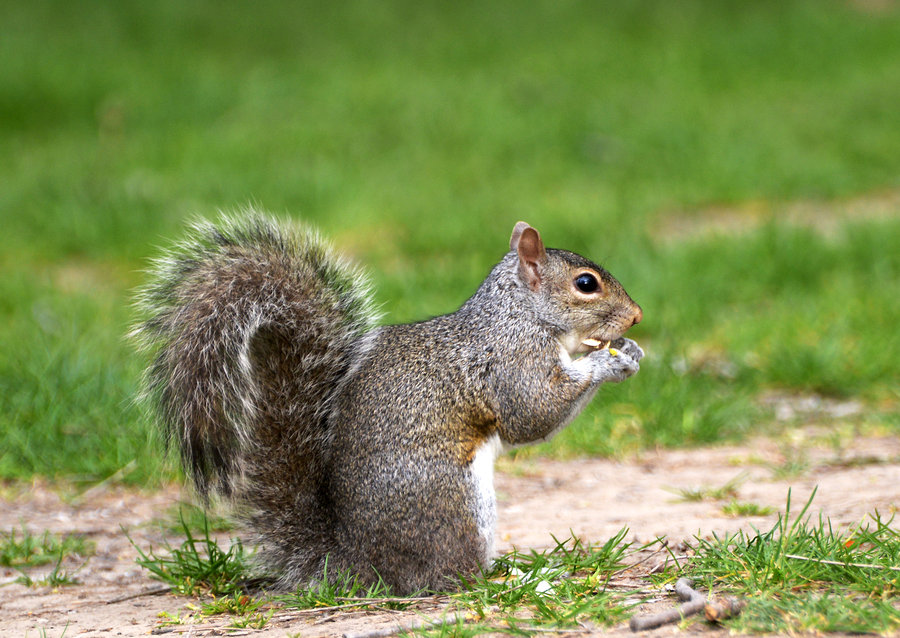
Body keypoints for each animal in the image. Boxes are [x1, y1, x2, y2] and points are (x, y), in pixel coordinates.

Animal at [132, 214, 640, 596]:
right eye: (586, 283)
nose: (636, 317)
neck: (519, 314)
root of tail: (357, 562)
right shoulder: (512, 361)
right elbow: (533, 414)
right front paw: (605, 362)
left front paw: (630, 351)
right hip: (453, 501)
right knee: (448, 577)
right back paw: (512, 579)